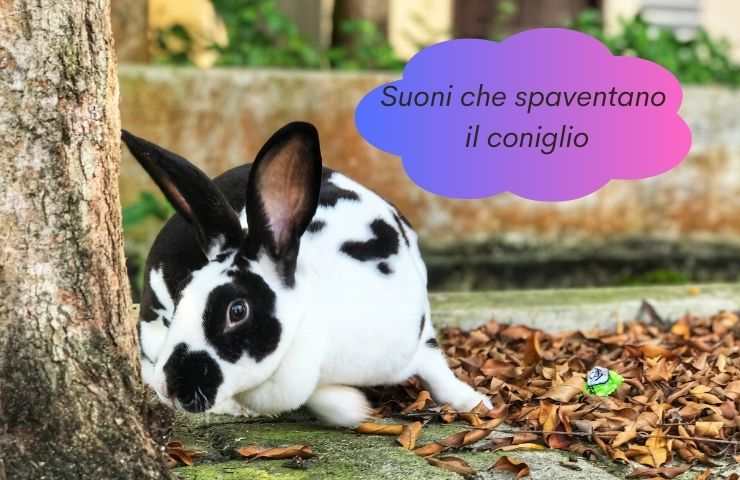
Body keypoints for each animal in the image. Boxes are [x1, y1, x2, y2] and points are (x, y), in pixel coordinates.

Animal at [122, 122, 491, 427]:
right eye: (183, 295)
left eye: (237, 311)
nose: (169, 386)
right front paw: (353, 407)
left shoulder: (417, 333)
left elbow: (436, 367)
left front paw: (475, 402)